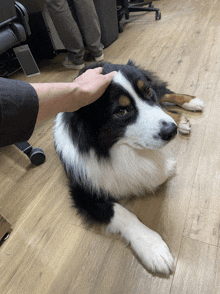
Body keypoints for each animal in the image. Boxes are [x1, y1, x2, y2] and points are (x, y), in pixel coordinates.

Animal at [53, 60, 205, 274]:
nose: (171, 131)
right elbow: (123, 214)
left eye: (147, 92)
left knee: (164, 93)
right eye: (121, 111)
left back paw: (189, 105)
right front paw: (153, 248)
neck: (112, 149)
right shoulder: (83, 191)